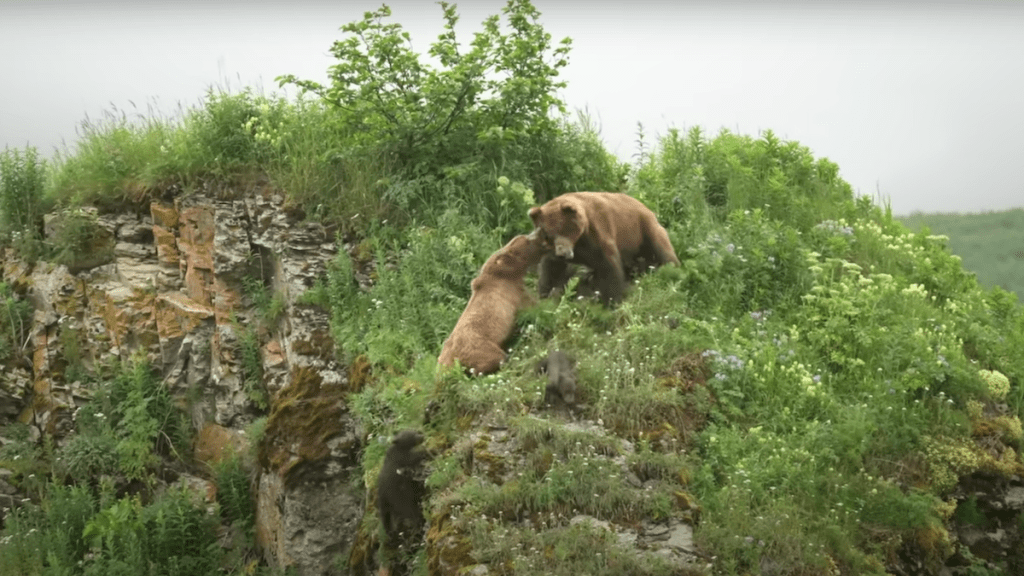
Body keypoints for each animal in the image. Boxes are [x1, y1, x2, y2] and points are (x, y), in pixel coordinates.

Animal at [437, 230, 550, 375]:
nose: (539, 232)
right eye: (527, 239)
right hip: (479, 346)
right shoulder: (512, 293)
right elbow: (532, 306)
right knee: (495, 358)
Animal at [529, 192, 679, 305]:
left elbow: (608, 267)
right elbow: (551, 269)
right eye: (547, 234)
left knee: (662, 249)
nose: (562, 253)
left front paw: (611, 301)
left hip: (643, 230)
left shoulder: (597, 234)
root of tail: (647, 208)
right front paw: (544, 294)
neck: (578, 241)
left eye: (563, 229)